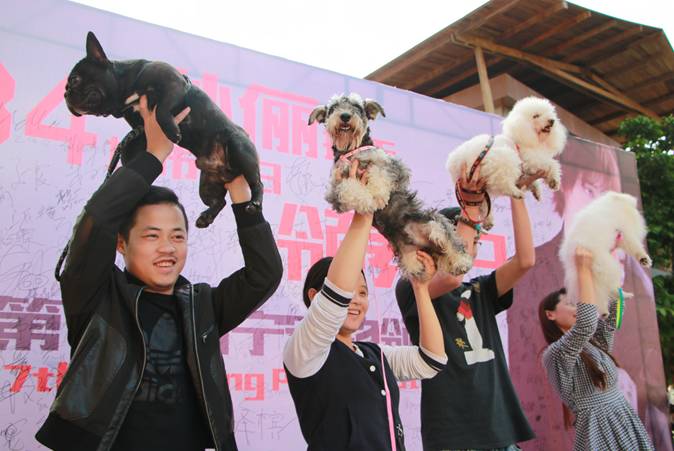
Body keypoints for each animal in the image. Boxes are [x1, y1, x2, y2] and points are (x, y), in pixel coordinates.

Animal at [64, 32, 263, 228]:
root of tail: (230, 172)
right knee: (219, 201)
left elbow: (161, 109)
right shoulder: (141, 130)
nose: (66, 93)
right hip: (207, 184)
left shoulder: (173, 85)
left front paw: (172, 131)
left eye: (75, 79)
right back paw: (205, 217)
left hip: (240, 149)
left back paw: (254, 203)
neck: (127, 87)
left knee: (257, 183)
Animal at [309, 94, 472, 278]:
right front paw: (367, 200)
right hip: (411, 260)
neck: (352, 150)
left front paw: (377, 195)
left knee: (451, 241)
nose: (345, 116)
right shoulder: (335, 190)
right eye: (333, 108)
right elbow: (348, 189)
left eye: (357, 107)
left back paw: (461, 262)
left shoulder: (395, 167)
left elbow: (379, 172)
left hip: (435, 223)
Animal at [447, 96, 567, 229]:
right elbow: (551, 164)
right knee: (502, 183)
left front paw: (536, 190)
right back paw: (516, 192)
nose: (552, 121)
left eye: (550, 114)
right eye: (536, 116)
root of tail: (457, 161)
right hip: (504, 158)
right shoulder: (531, 159)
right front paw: (554, 180)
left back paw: (488, 220)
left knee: (482, 203)